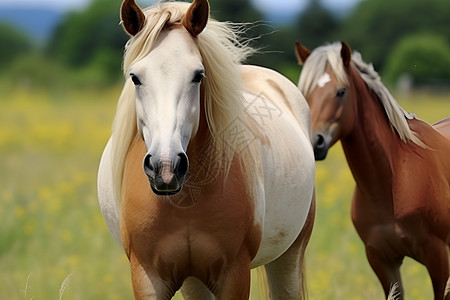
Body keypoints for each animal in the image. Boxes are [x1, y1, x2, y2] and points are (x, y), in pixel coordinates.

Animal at [96, 0, 314, 298]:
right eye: (135, 77)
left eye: (198, 76)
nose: (166, 167)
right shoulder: (146, 276)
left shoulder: (234, 273)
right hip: (194, 279)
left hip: (289, 254)